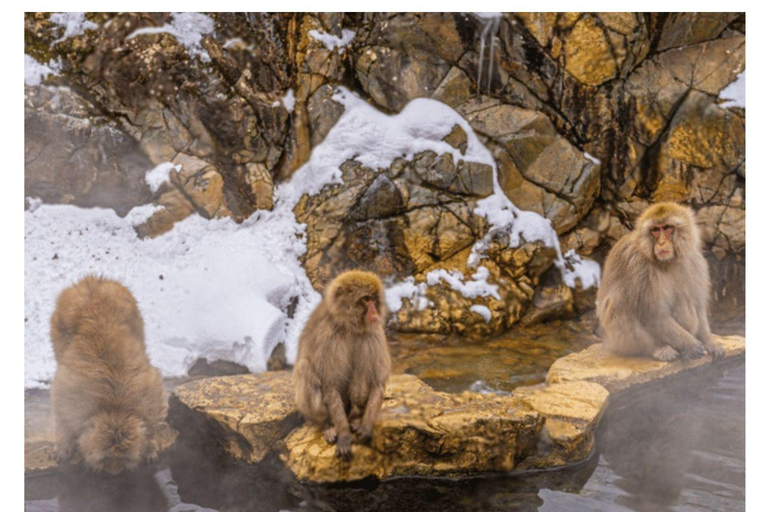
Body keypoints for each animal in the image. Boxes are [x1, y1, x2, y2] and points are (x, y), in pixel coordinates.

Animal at [51, 278, 168, 474]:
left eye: (123, 458)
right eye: (106, 458)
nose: (114, 472)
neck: (115, 407)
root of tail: (92, 280)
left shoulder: (150, 399)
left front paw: (149, 445)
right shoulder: (70, 399)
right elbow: (63, 416)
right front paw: (65, 445)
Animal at [292, 272, 392, 460]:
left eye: (374, 299)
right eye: (365, 299)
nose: (374, 311)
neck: (350, 326)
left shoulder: (374, 333)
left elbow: (377, 381)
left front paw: (366, 427)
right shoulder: (329, 337)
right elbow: (330, 384)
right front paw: (344, 433)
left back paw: (355, 418)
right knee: (305, 367)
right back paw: (329, 425)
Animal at [596, 202, 724, 362]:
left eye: (667, 227)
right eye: (655, 230)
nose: (662, 243)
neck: (668, 261)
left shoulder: (695, 261)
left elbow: (698, 306)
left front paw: (709, 341)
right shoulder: (639, 266)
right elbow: (653, 315)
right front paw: (690, 344)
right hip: (618, 341)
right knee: (619, 302)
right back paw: (656, 349)